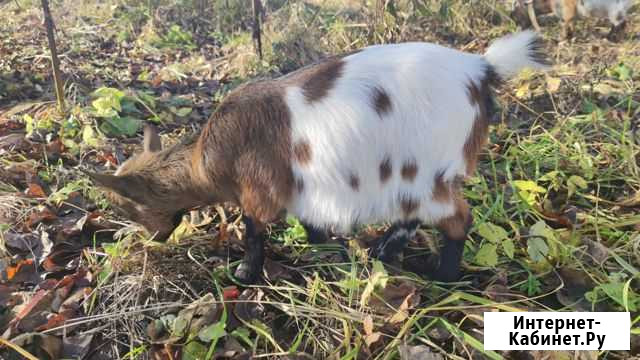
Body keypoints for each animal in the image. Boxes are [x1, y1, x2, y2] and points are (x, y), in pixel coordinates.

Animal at [89, 31, 552, 284]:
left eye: (126, 205)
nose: (154, 238)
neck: (208, 158)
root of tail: (479, 70)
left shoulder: (259, 189)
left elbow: (253, 231)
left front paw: (245, 275)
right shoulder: (301, 183)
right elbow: (308, 219)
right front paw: (322, 244)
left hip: (425, 169)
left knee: (457, 218)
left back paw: (443, 276)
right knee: (414, 215)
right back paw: (384, 250)